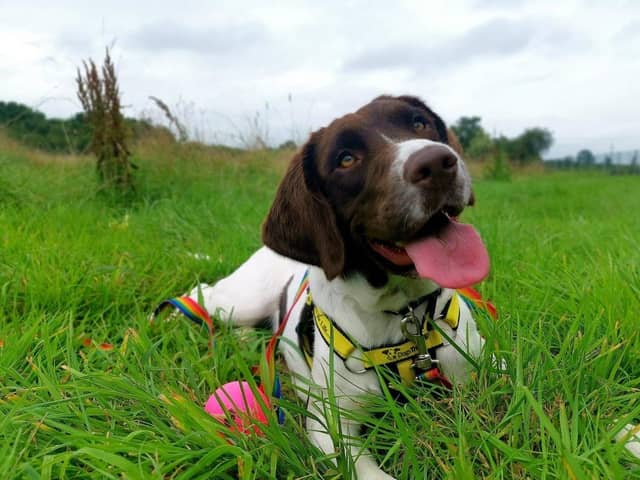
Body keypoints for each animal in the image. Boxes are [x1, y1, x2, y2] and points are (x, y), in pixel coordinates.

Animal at [190, 94, 490, 480]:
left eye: (420, 123)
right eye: (346, 159)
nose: (437, 163)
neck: (404, 316)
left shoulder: (480, 367)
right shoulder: (330, 424)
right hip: (240, 300)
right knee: (203, 293)